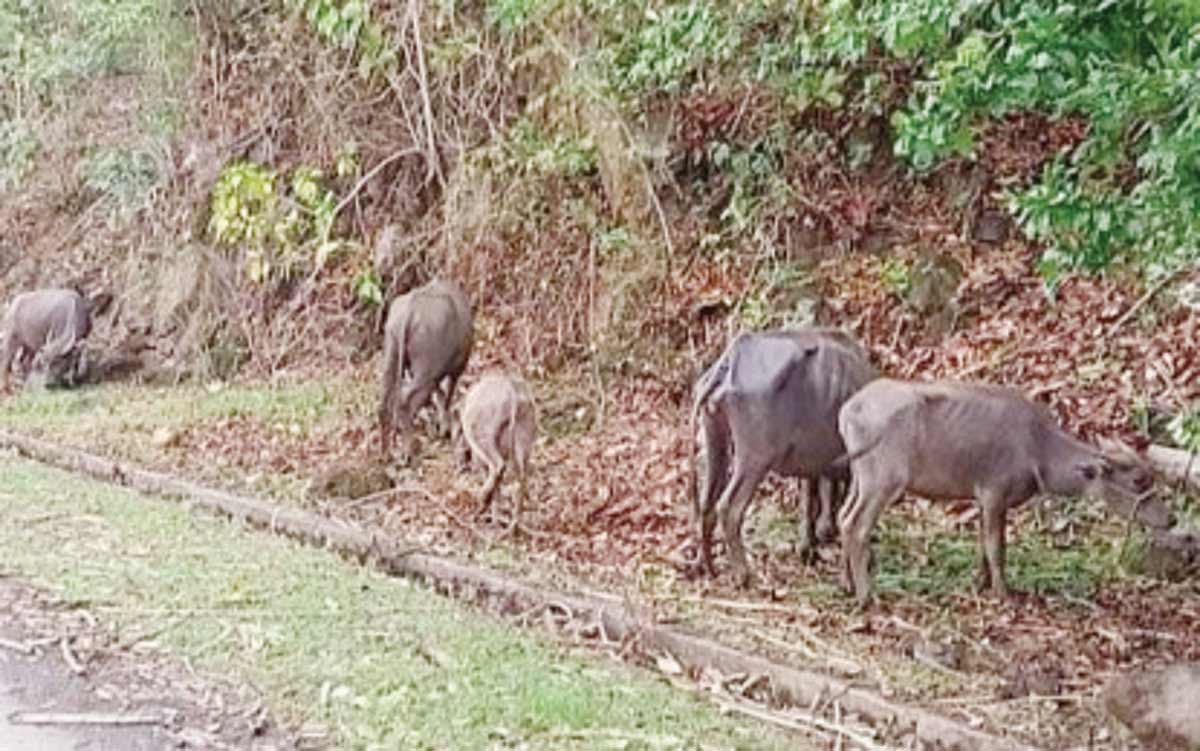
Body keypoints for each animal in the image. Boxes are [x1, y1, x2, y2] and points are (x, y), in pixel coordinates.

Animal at [379, 278, 472, 458]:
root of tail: (409, 311)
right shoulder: (457, 368)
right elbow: (447, 394)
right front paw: (443, 428)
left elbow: (439, 395)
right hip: (425, 372)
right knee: (405, 400)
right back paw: (408, 450)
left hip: (392, 350)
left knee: (385, 399)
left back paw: (386, 451)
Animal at [691, 326, 878, 585]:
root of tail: (727, 363)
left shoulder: (812, 463)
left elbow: (808, 501)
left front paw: (808, 547)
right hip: (753, 459)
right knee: (728, 507)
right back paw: (743, 574)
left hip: (715, 438)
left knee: (706, 503)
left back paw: (707, 566)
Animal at [835, 379, 1171, 602]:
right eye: (1138, 481)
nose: (1170, 519)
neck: (1038, 450)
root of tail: (849, 410)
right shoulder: (993, 492)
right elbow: (996, 547)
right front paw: (1003, 593)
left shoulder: (986, 501)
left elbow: (987, 545)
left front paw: (982, 583)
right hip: (883, 481)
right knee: (857, 525)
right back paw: (867, 596)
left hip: (859, 477)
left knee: (842, 517)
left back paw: (847, 584)